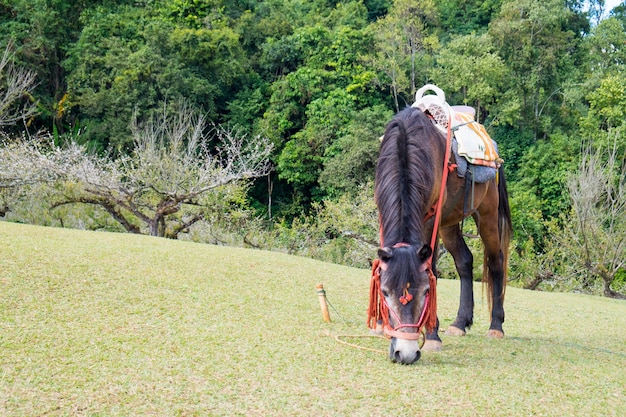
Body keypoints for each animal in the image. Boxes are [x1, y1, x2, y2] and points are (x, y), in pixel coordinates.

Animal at [368, 105, 510, 362]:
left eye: (426, 291)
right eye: (384, 292)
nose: (405, 353)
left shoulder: (430, 222)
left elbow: (431, 269)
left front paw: (433, 336)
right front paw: (381, 324)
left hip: (487, 215)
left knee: (496, 261)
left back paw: (496, 326)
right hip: (449, 224)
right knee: (465, 261)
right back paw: (460, 323)